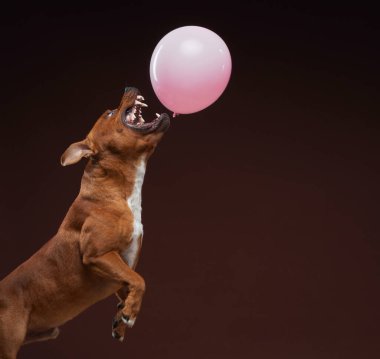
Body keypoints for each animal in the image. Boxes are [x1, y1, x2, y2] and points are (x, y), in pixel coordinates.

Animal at [0, 88, 171, 359]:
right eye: (109, 113)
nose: (129, 88)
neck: (115, 192)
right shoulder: (98, 254)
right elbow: (140, 280)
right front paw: (129, 314)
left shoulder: (122, 269)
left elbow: (134, 283)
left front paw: (123, 318)